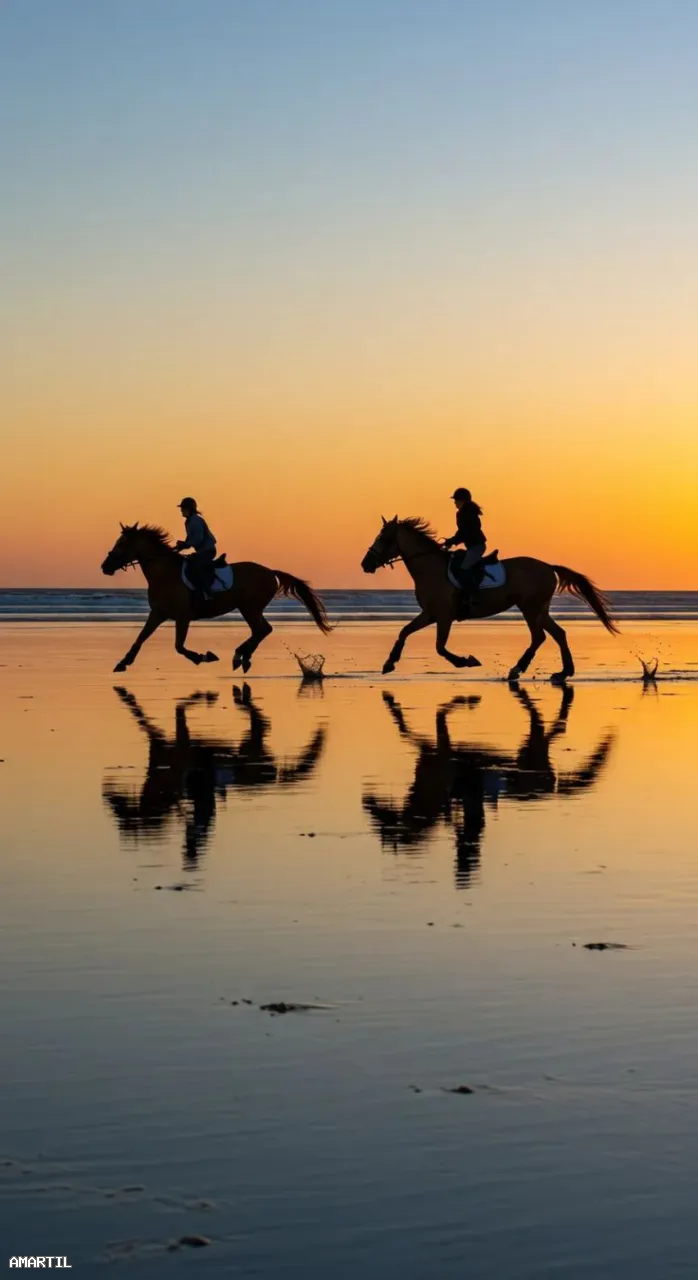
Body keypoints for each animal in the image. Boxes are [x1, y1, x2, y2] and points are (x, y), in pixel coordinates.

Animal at [101, 522, 331, 673]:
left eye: (121, 544)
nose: (105, 567)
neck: (165, 574)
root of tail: (270, 572)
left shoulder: (182, 617)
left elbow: (179, 646)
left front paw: (203, 657)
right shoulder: (158, 613)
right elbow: (141, 637)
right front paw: (123, 662)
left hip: (249, 608)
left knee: (261, 630)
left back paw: (239, 656)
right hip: (250, 608)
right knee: (263, 630)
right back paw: (243, 657)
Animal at [361, 516, 618, 682]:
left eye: (383, 537)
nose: (366, 564)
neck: (430, 568)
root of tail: (548, 567)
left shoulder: (443, 616)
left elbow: (440, 647)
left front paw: (467, 661)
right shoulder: (430, 614)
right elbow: (404, 631)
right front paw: (389, 663)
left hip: (530, 607)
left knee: (539, 637)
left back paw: (517, 670)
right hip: (540, 609)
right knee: (558, 634)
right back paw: (563, 673)